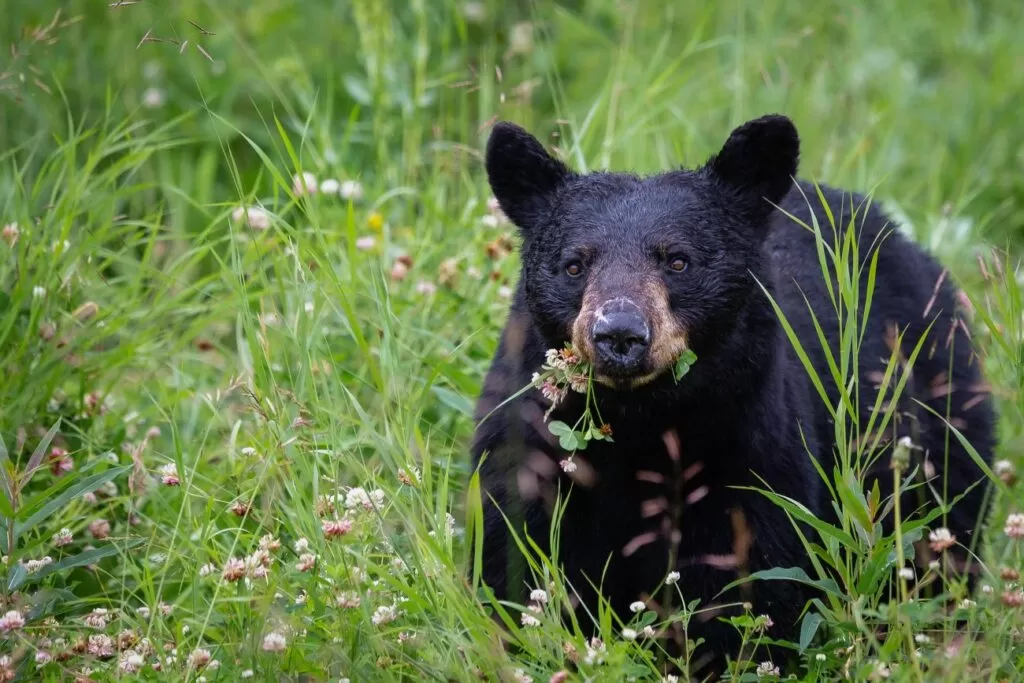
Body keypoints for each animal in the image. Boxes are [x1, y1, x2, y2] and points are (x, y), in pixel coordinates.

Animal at [468, 114, 991, 675]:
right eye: (574, 265)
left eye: (678, 261)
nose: (620, 334)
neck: (639, 424)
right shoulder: (529, 446)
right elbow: (513, 554)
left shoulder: (751, 449)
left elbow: (751, 579)